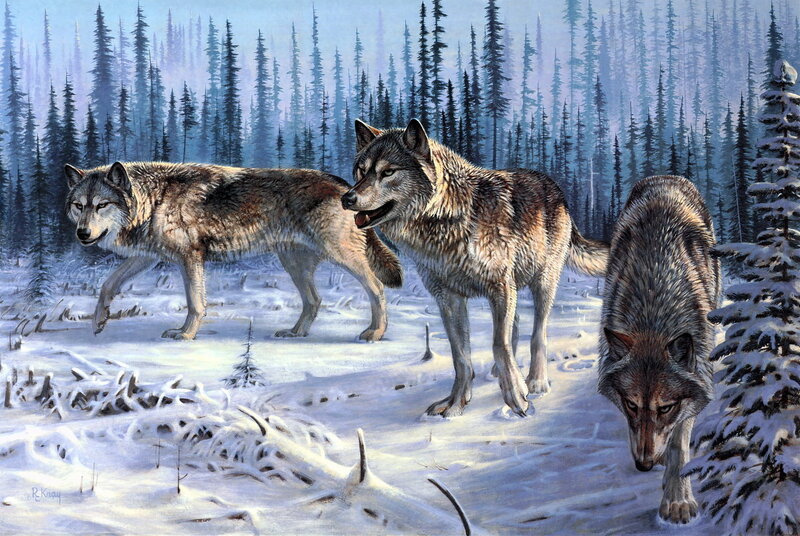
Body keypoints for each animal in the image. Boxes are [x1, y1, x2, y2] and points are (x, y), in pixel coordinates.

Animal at [64, 161, 402, 341]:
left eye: (102, 205)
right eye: (79, 205)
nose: (82, 234)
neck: (154, 200)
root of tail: (345, 186)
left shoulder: (190, 257)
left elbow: (195, 303)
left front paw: (186, 334)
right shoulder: (147, 257)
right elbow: (107, 285)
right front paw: (98, 322)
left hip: (341, 256)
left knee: (377, 288)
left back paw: (376, 332)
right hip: (294, 264)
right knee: (314, 300)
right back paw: (296, 333)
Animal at [342, 119, 608, 417]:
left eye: (388, 172)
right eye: (361, 170)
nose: (347, 198)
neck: (446, 221)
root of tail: (555, 187)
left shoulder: (499, 288)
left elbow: (499, 344)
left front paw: (517, 398)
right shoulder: (449, 298)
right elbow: (461, 356)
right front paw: (455, 404)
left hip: (542, 282)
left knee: (538, 334)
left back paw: (536, 382)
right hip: (513, 288)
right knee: (515, 327)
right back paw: (501, 373)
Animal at [597, 175, 719, 524]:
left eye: (665, 408)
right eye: (631, 404)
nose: (643, 464)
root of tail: (667, 177)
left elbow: (680, 444)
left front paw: (677, 501)